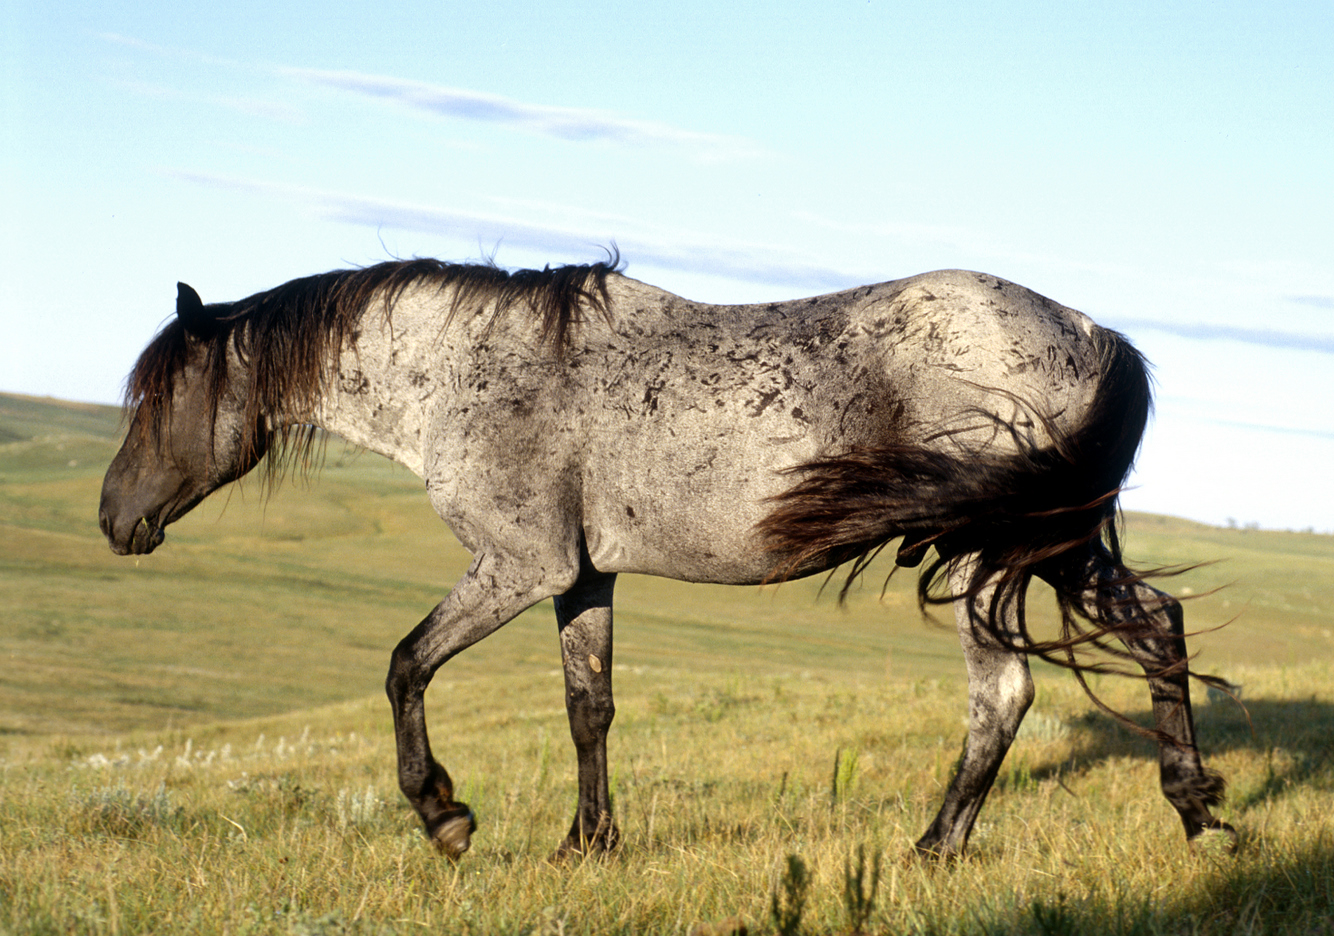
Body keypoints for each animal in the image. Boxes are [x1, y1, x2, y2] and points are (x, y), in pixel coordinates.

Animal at [98, 256, 1232, 858]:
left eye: (159, 398)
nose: (113, 520)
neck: (468, 374)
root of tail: (1095, 334)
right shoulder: (583, 578)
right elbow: (587, 708)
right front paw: (586, 843)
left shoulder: (520, 568)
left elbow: (405, 665)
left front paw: (445, 816)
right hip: (1039, 548)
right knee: (1145, 631)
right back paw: (1192, 811)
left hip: (989, 558)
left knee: (1006, 691)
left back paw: (938, 849)